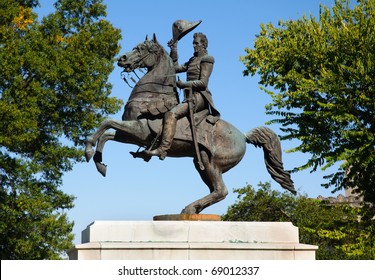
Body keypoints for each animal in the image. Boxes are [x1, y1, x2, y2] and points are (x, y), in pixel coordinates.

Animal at [85, 35, 296, 214]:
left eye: (142, 48)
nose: (121, 58)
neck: (151, 96)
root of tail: (243, 136)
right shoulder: (131, 135)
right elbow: (106, 134)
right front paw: (99, 163)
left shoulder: (139, 130)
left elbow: (106, 123)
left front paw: (88, 150)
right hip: (200, 161)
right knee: (215, 190)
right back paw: (193, 210)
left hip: (212, 163)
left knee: (221, 190)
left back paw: (189, 208)